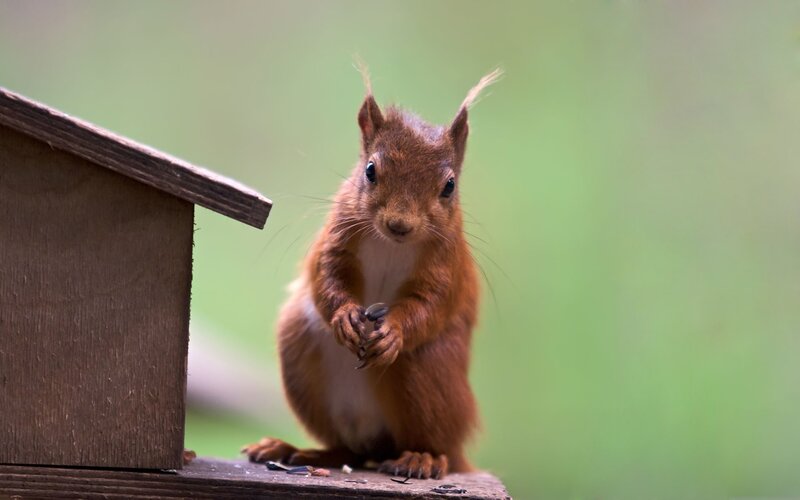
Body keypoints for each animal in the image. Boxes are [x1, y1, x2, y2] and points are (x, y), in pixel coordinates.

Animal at [242, 66, 501, 479]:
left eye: (449, 186)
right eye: (370, 171)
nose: (399, 225)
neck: (390, 244)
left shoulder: (447, 263)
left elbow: (431, 303)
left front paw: (393, 331)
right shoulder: (337, 235)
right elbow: (326, 275)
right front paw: (346, 315)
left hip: (428, 372)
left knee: (435, 447)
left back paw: (422, 458)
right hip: (299, 347)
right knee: (345, 450)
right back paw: (296, 451)